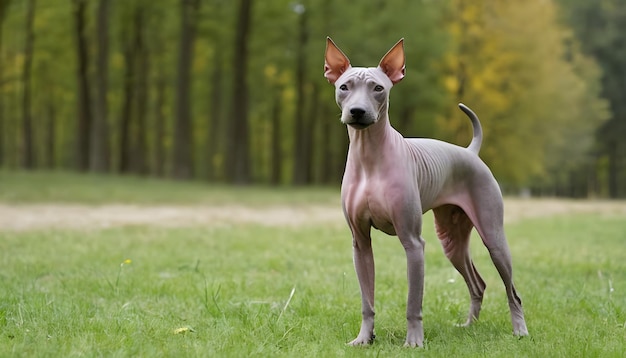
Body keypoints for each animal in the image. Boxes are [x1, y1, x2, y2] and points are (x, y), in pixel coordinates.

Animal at [322, 38, 528, 346]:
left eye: (378, 88)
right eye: (344, 87)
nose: (357, 111)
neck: (370, 158)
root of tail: (470, 152)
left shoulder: (413, 243)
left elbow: (413, 302)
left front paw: (414, 342)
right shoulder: (360, 244)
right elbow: (367, 301)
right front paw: (364, 338)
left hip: (494, 238)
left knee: (512, 290)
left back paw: (519, 330)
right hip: (451, 241)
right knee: (478, 283)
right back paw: (469, 326)